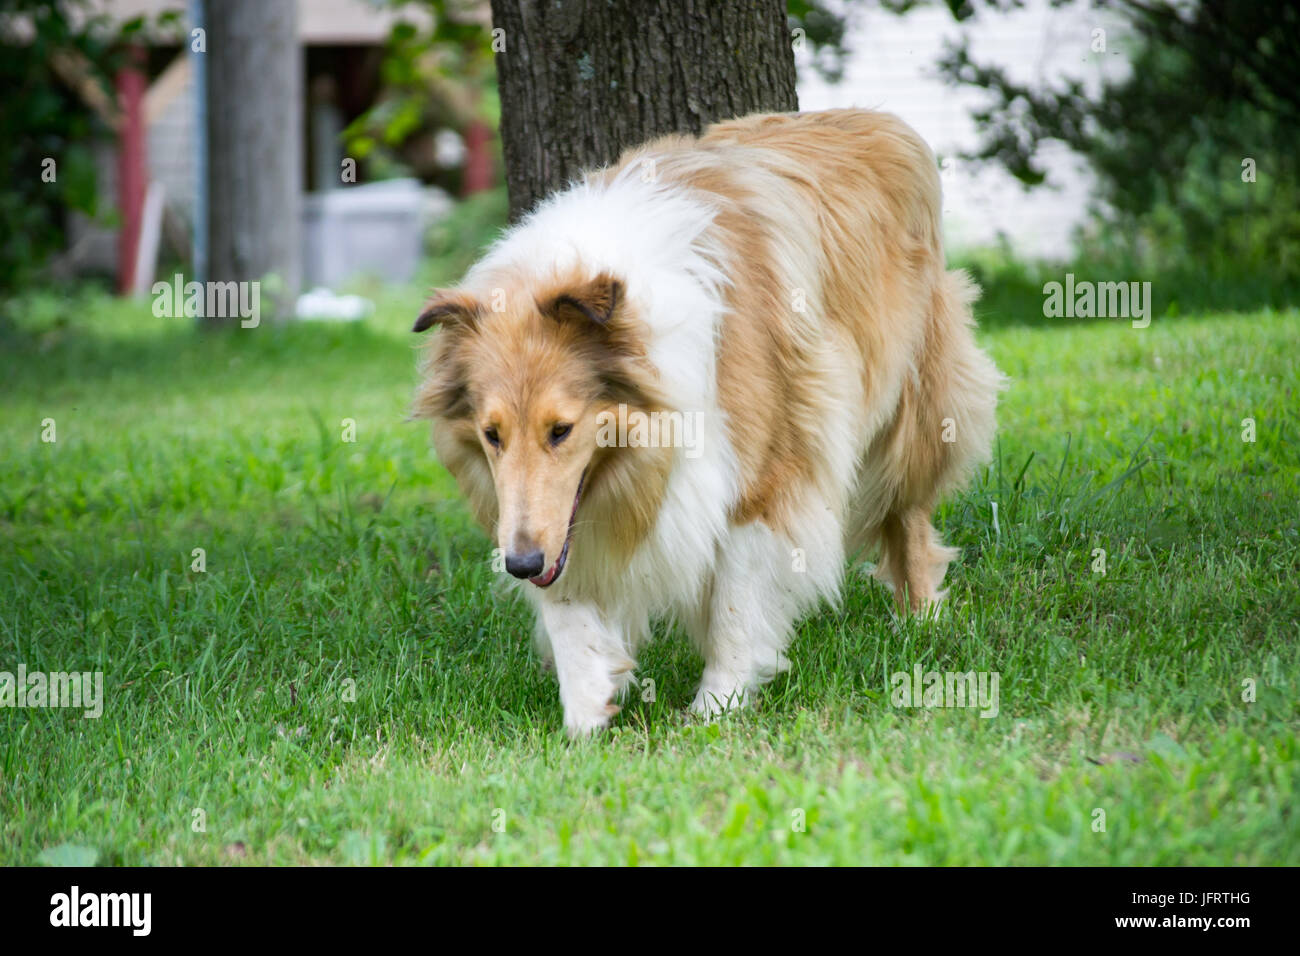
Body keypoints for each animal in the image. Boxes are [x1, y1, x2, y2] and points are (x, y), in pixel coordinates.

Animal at [410, 108, 998, 738]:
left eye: (560, 430)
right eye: (491, 435)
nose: (519, 566)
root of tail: (876, 116)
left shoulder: (763, 475)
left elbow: (736, 603)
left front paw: (717, 706)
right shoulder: (552, 521)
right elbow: (567, 600)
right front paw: (586, 710)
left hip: (915, 411)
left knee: (907, 513)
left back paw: (920, 621)